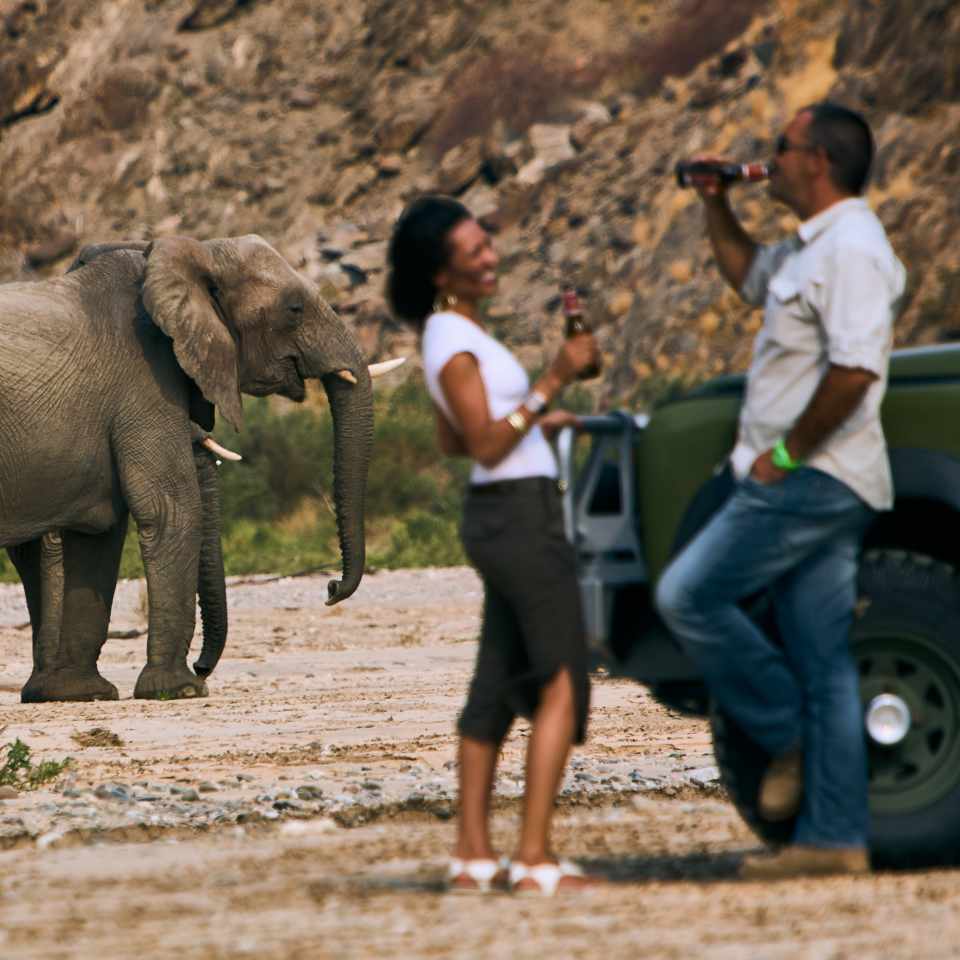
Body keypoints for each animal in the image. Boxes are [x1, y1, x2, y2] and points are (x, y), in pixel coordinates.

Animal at [0, 232, 382, 696]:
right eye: (294, 309)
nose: (330, 587)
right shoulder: (144, 378)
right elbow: (171, 510)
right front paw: (178, 690)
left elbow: (97, 533)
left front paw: (81, 694)